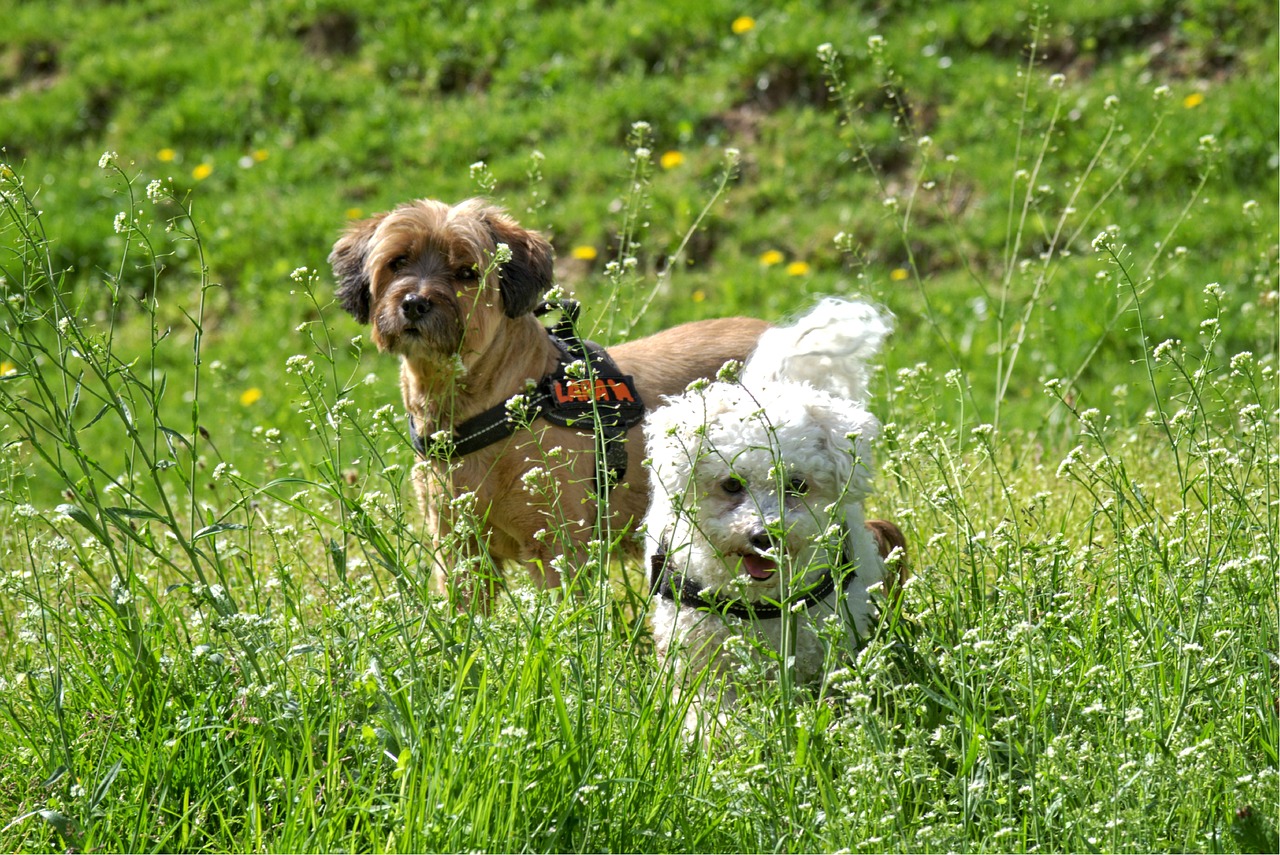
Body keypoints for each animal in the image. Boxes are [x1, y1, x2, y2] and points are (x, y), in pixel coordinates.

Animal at [645, 299, 906, 727]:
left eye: (797, 484)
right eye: (731, 484)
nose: (763, 537)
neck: (763, 603)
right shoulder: (701, 652)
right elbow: (709, 706)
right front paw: (715, 735)